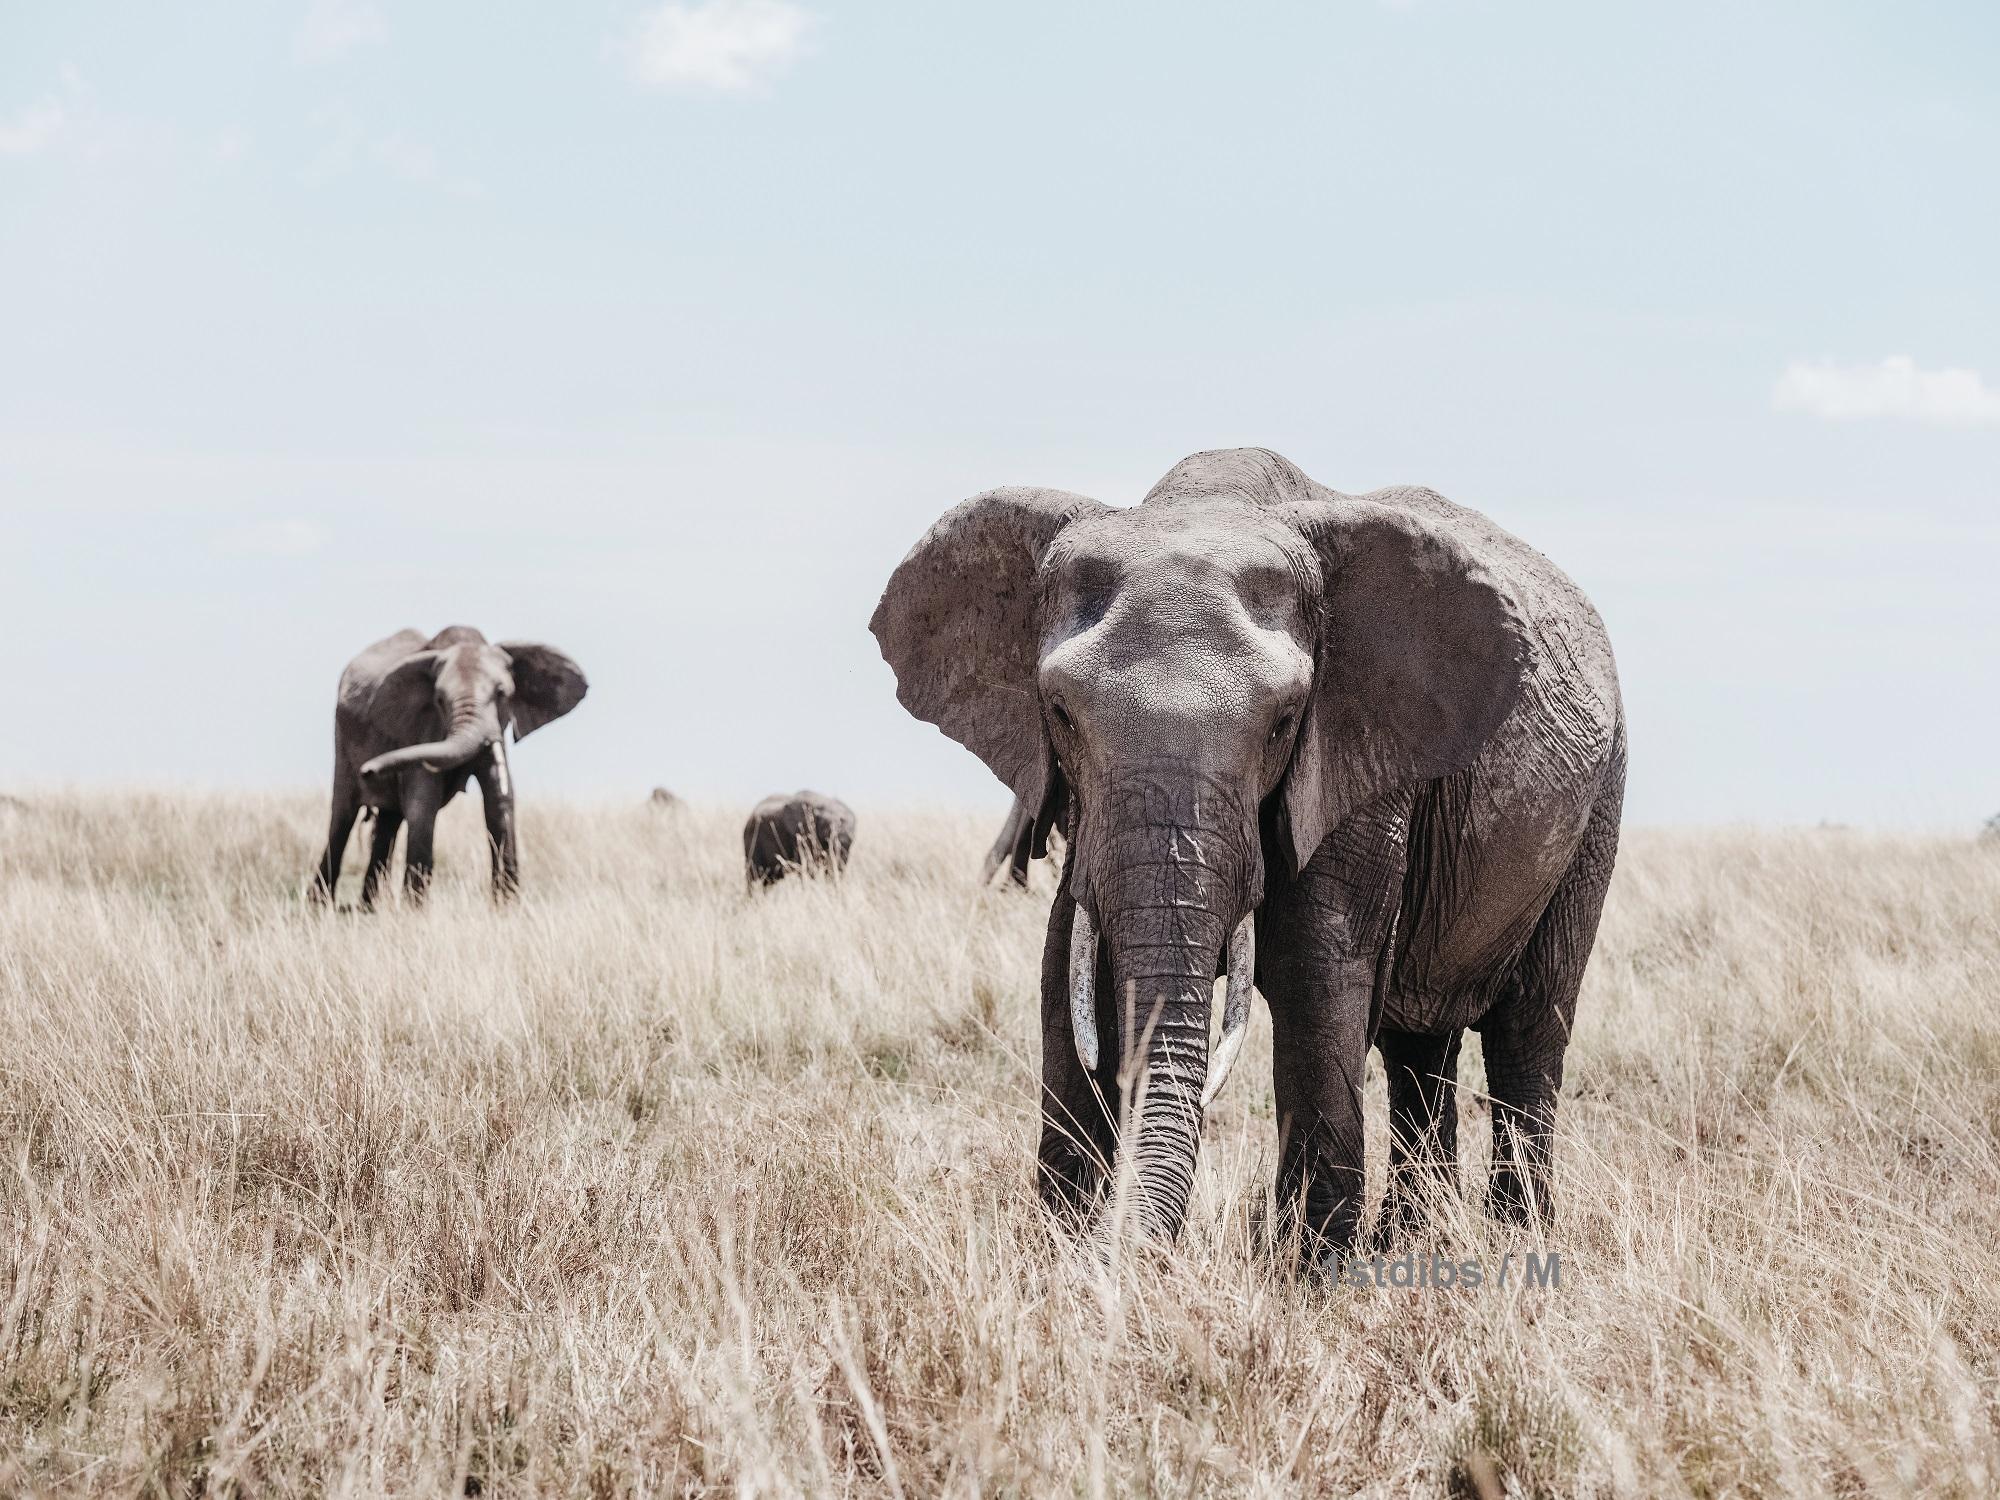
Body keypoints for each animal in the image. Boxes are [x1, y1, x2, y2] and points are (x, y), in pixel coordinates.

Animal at [306, 624, 584, 904]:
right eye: (439, 699)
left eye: (502, 694)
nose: (368, 770)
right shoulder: (419, 728)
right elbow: (423, 802)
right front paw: (414, 910)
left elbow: (499, 798)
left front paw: (507, 907)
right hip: (342, 740)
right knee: (342, 820)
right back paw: (319, 905)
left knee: (388, 821)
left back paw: (369, 907)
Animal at [868, 446, 1616, 1256]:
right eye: (1060, 713)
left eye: (1284, 721)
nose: (1120, 1245)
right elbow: (1067, 964)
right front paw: (1065, 1251)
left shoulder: (1357, 754)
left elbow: (1320, 969)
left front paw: (1309, 1267)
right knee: (1420, 1051)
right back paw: (1413, 1242)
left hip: (1598, 809)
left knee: (1527, 1031)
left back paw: (1516, 1238)